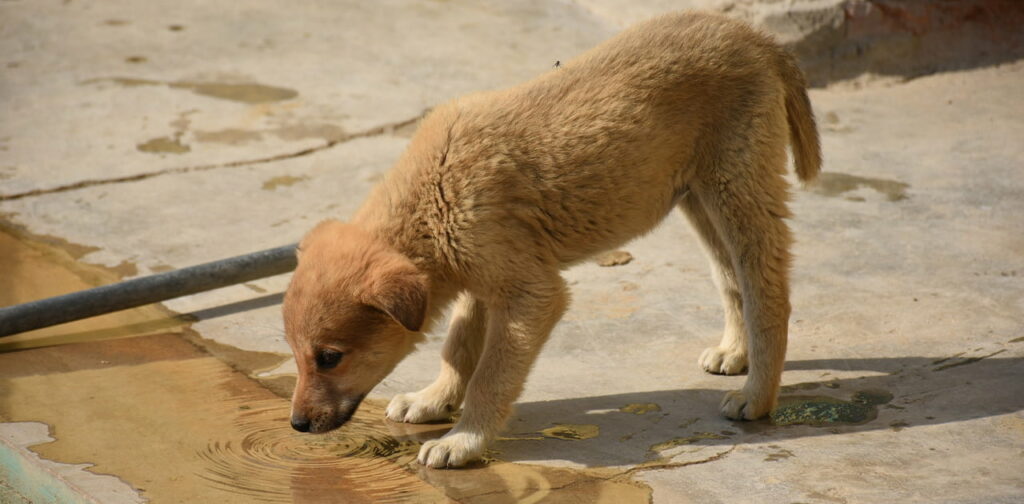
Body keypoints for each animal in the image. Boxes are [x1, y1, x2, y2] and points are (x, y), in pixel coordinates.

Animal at [282, 10, 823, 469]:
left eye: (329, 358)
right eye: (295, 353)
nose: (298, 425)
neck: (434, 198)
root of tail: (753, 36)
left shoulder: (531, 294)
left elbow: (491, 376)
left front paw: (464, 440)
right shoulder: (483, 279)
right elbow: (458, 347)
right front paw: (434, 400)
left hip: (738, 186)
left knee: (767, 290)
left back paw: (757, 396)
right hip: (698, 197)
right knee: (731, 277)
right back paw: (735, 353)